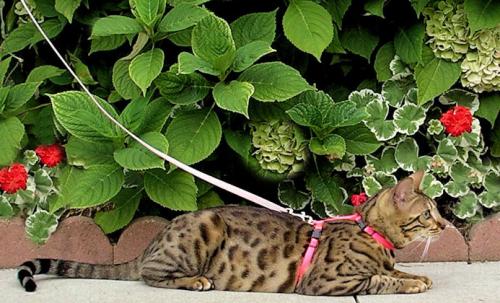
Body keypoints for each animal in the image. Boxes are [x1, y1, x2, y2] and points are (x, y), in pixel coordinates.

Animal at [17, 171, 446, 296]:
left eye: (438, 212)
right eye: (427, 214)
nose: (445, 225)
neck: (370, 229)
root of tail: (153, 242)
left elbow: (393, 271)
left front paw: (414, 275)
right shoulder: (327, 282)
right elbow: (379, 280)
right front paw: (409, 283)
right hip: (205, 228)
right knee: (152, 275)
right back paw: (195, 280)